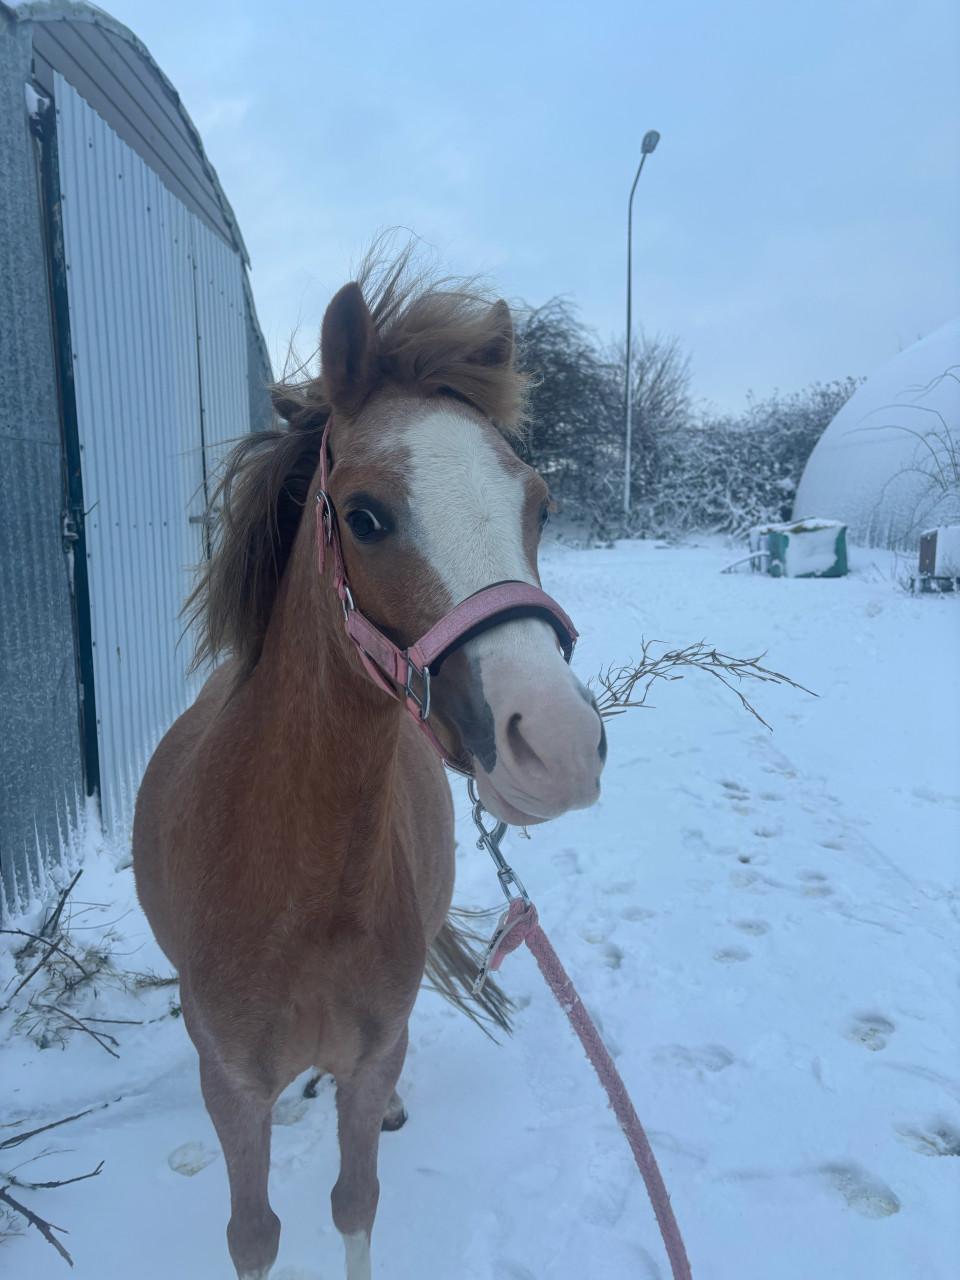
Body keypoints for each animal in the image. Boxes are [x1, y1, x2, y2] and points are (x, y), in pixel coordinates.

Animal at [132, 250, 607, 1280]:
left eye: (540, 505)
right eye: (365, 516)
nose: (557, 744)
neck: (299, 885)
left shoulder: (376, 1047)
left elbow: (356, 1204)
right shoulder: (230, 1090)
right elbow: (254, 1235)